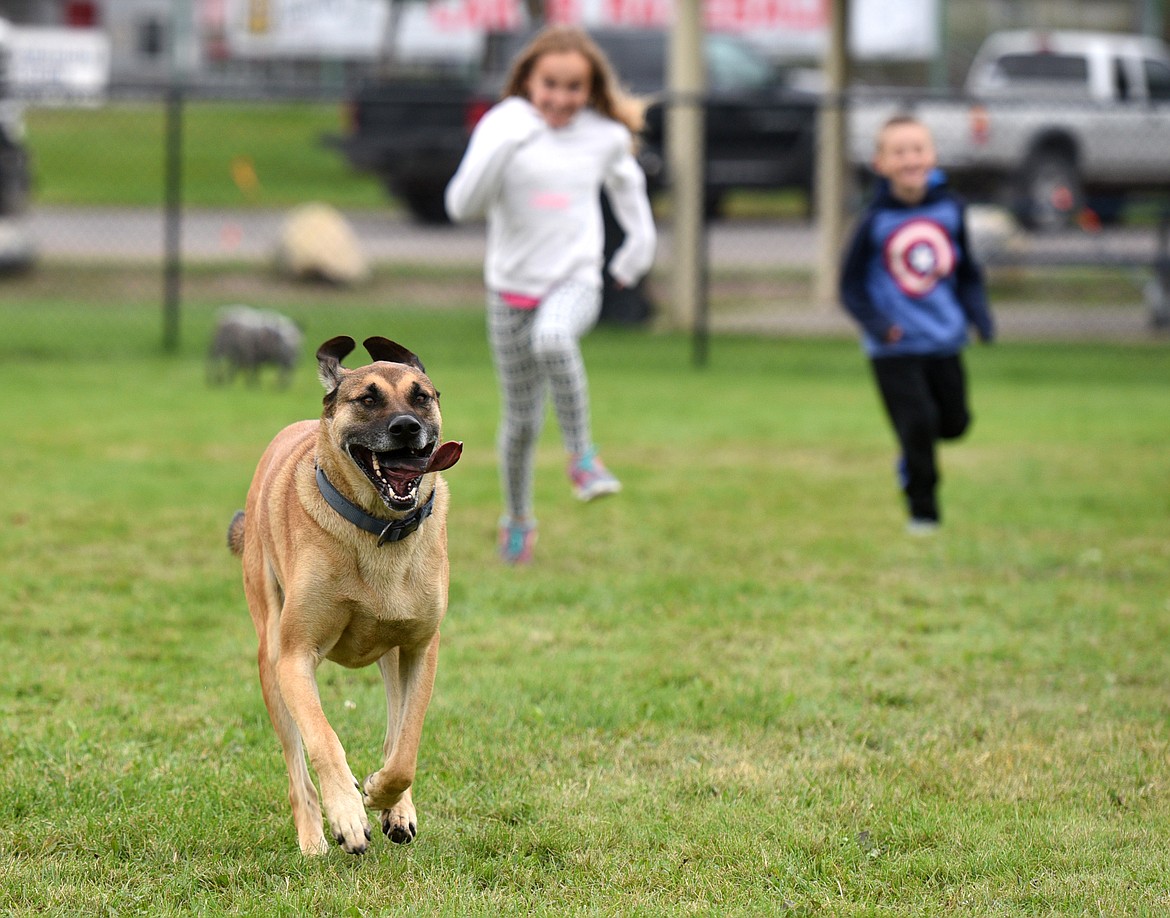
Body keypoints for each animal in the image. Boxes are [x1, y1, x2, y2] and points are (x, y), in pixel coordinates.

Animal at [225, 334, 463, 851]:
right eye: (368, 399)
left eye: (421, 396)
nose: (406, 427)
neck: (378, 528)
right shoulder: (295, 657)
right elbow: (322, 737)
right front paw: (348, 813)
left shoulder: (420, 648)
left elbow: (405, 745)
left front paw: (381, 794)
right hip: (269, 655)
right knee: (297, 770)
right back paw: (314, 839)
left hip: (391, 654)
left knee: (394, 730)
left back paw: (396, 809)